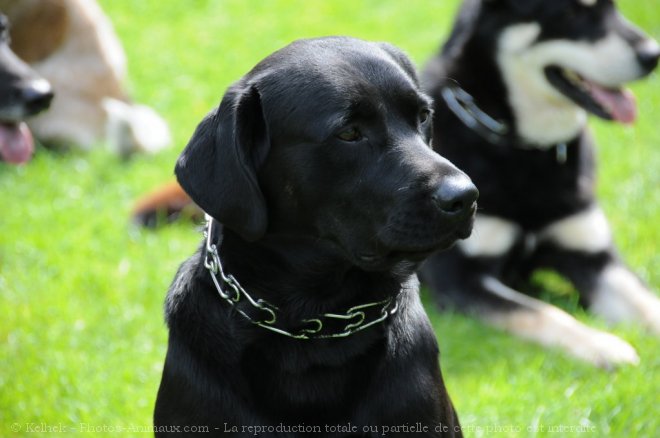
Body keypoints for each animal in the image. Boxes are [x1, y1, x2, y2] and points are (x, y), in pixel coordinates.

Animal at [422, 0, 660, 370]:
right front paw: (601, 344)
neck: (525, 149)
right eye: (572, 14)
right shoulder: (461, 277)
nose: (653, 55)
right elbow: (541, 311)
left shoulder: (595, 256)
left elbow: (645, 302)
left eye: (615, 8)